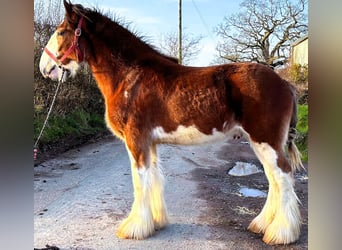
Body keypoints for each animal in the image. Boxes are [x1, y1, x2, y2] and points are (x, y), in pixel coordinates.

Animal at [38, 0, 304, 245]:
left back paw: (281, 233)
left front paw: (135, 228)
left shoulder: (136, 141)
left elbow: (139, 181)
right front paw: (155, 221)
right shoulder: (150, 143)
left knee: (283, 176)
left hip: (265, 140)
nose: (44, 67)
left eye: (61, 32)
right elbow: (154, 178)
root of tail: (285, 84)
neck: (130, 76)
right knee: (273, 179)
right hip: (260, 142)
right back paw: (262, 224)